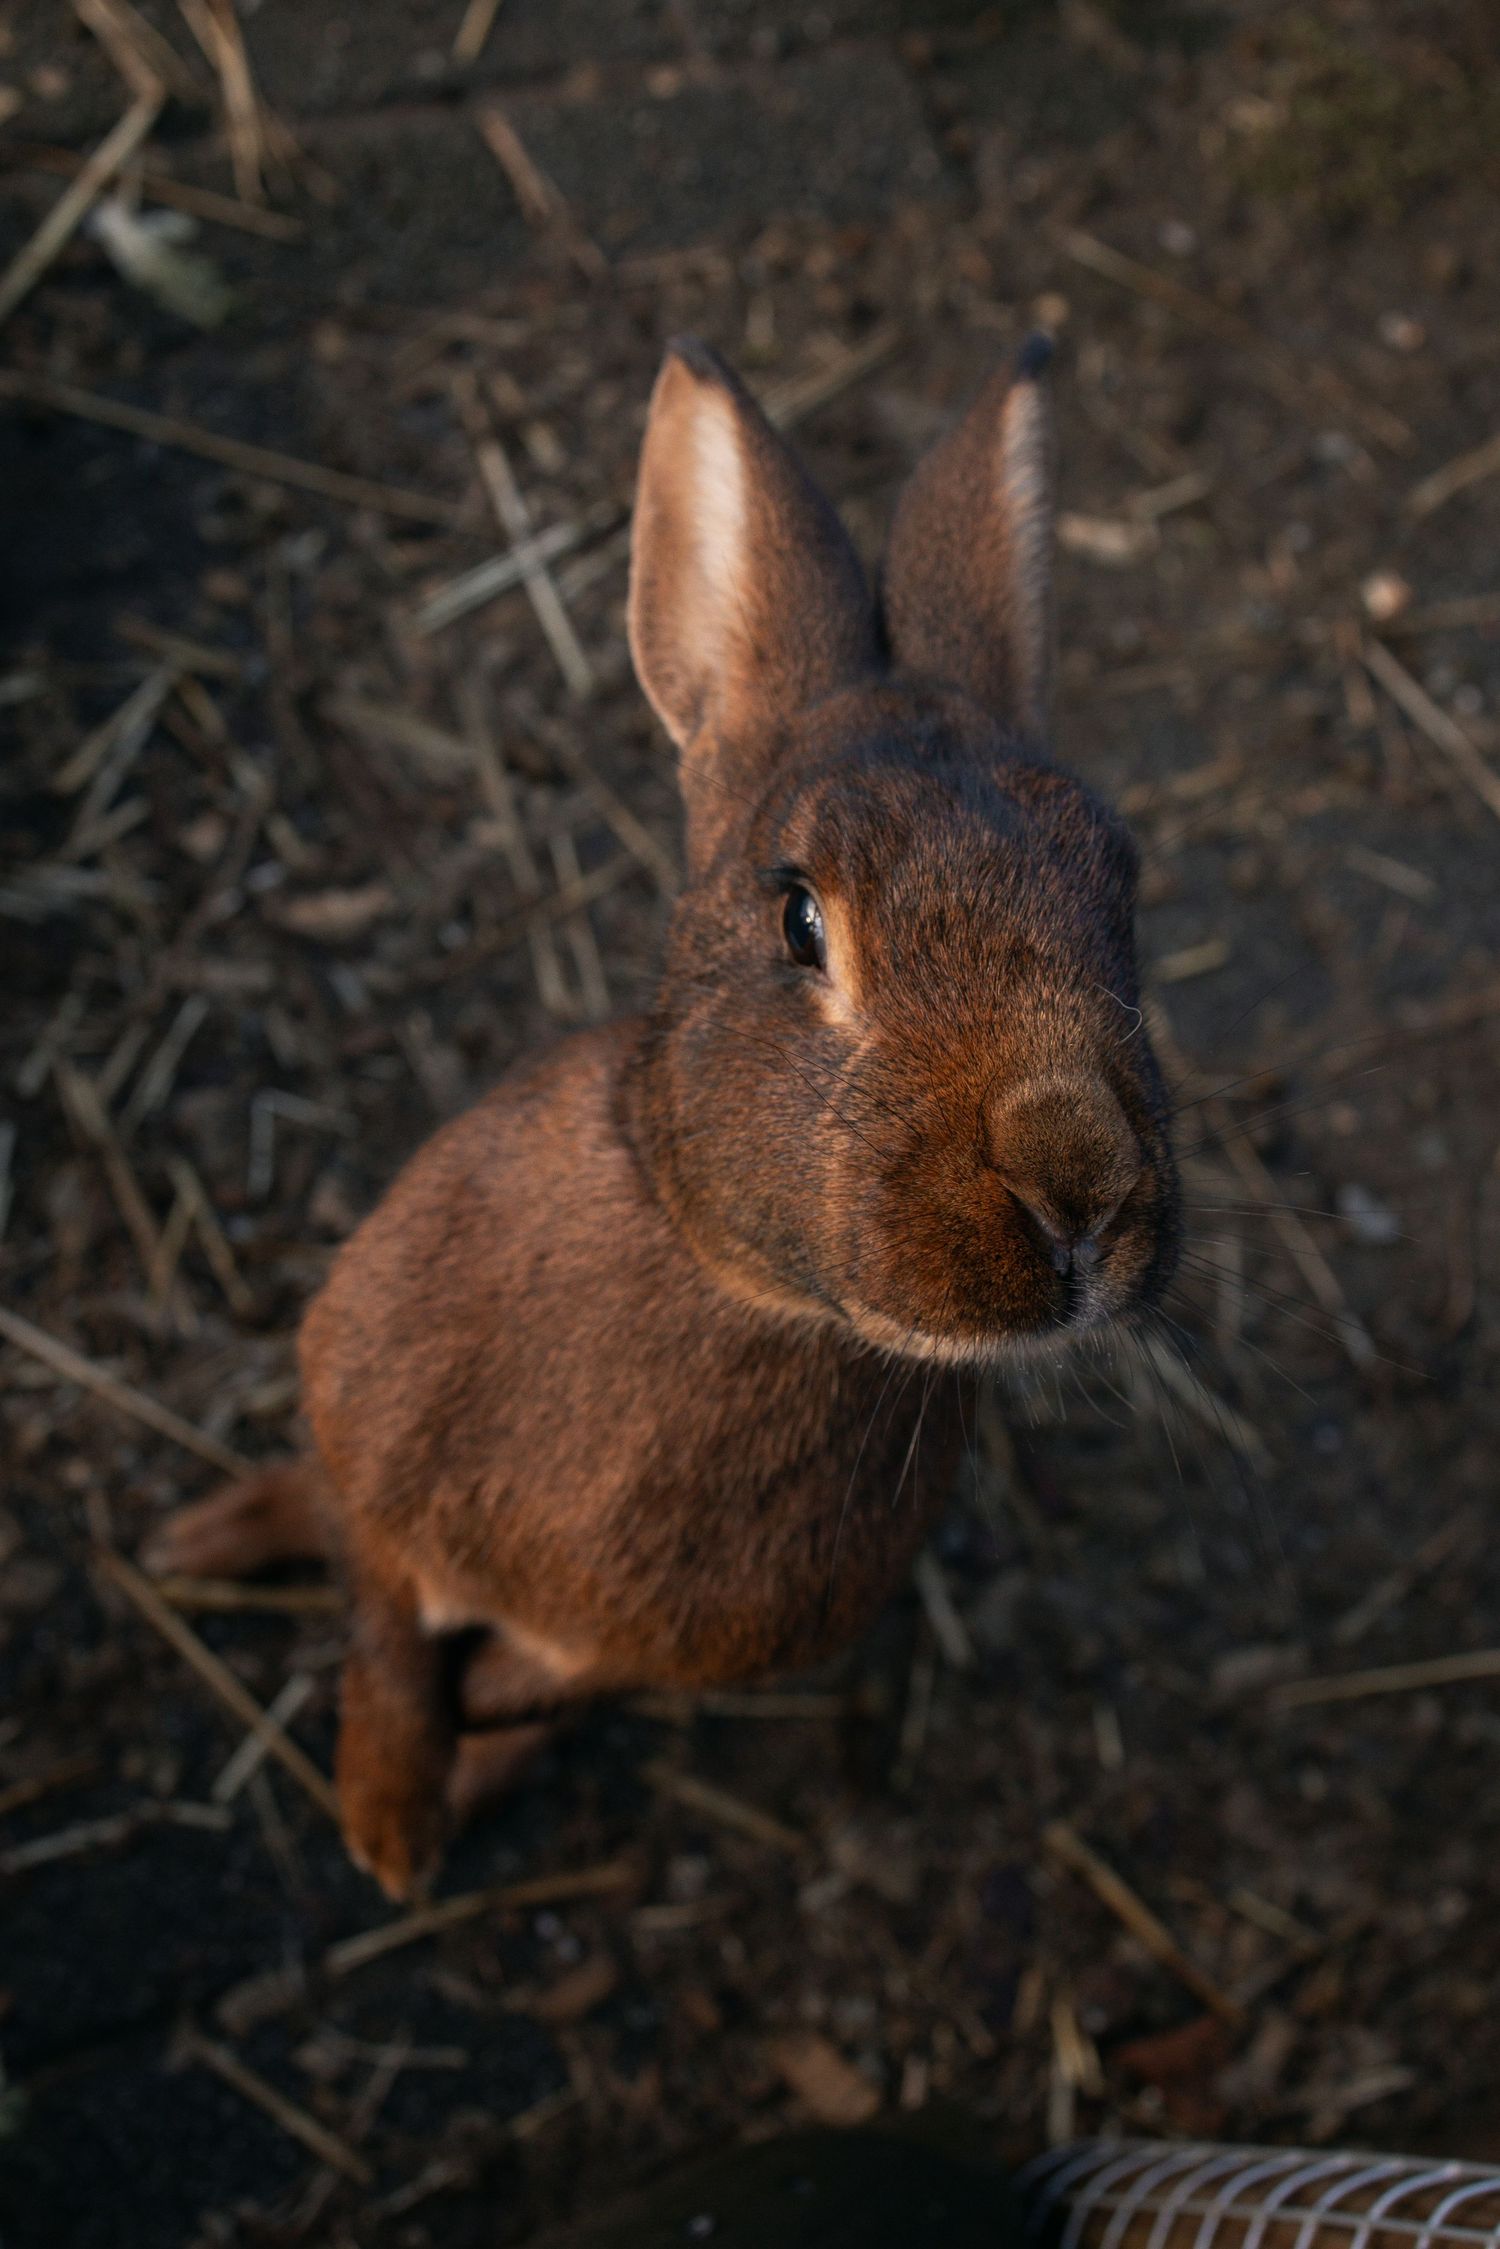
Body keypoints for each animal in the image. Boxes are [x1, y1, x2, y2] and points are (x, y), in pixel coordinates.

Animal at [142, 334, 1180, 1900]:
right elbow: (382, 1624)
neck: (728, 1280)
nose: (1081, 1182)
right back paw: (197, 1542)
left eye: (1120, 888)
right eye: (800, 915)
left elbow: (542, 1679)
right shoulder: (371, 1431)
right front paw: (386, 1828)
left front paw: (445, 1774)